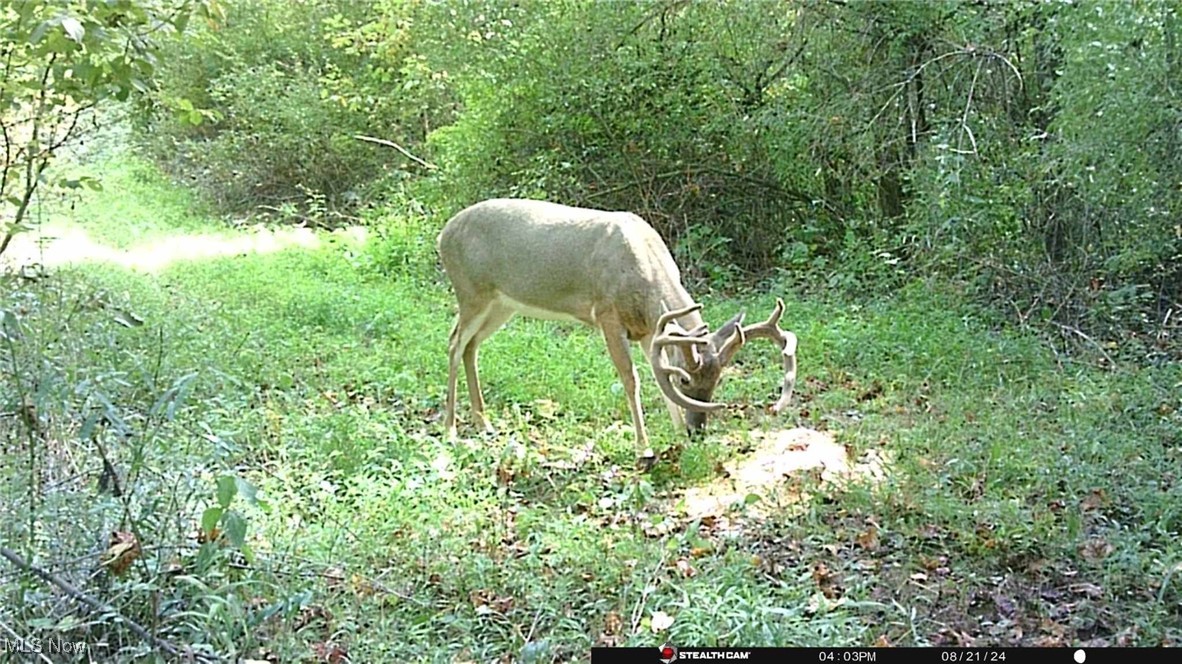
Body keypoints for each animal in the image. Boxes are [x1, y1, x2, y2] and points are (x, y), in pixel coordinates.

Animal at [439, 197, 799, 460]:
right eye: (686, 380)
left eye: (718, 379)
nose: (697, 431)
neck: (644, 273)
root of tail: (444, 234)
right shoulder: (607, 314)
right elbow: (631, 378)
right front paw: (644, 447)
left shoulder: (649, 330)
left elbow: (656, 374)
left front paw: (676, 435)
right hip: (471, 291)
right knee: (454, 342)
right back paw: (451, 429)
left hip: (503, 304)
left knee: (471, 346)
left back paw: (483, 422)